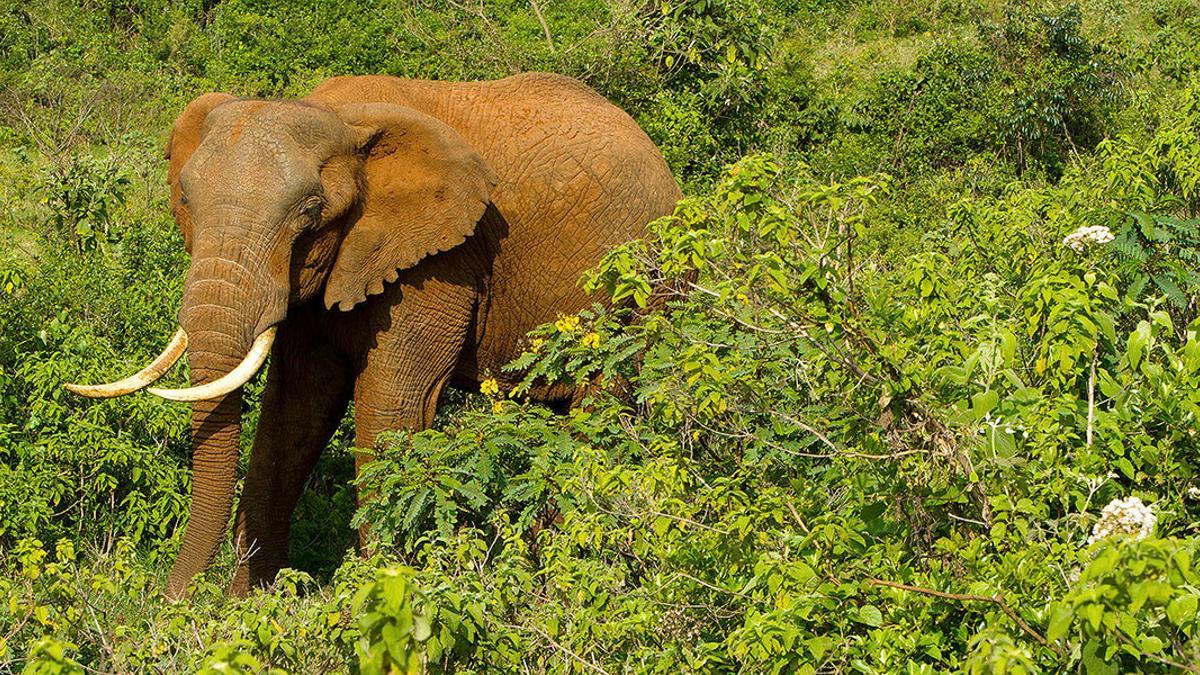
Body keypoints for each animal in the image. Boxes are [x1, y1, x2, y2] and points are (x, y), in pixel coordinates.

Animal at [65, 72, 681, 593]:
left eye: (310, 213)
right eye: (186, 201)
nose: (172, 602)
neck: (337, 117)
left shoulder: (440, 259)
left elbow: (392, 403)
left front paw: (376, 600)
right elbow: (294, 410)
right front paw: (253, 606)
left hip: (642, 293)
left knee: (600, 416)